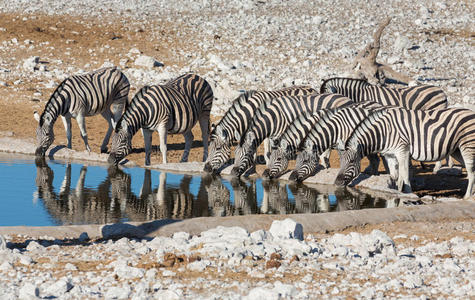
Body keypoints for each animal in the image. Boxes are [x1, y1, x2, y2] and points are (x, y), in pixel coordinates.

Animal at [334, 107, 475, 199]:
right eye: (340, 162)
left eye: (352, 161)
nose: (336, 183)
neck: (383, 133)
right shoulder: (390, 155)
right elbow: (395, 176)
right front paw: (396, 191)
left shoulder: (403, 151)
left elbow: (405, 174)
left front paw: (407, 193)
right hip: (456, 150)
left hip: (467, 145)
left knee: (471, 171)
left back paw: (467, 196)